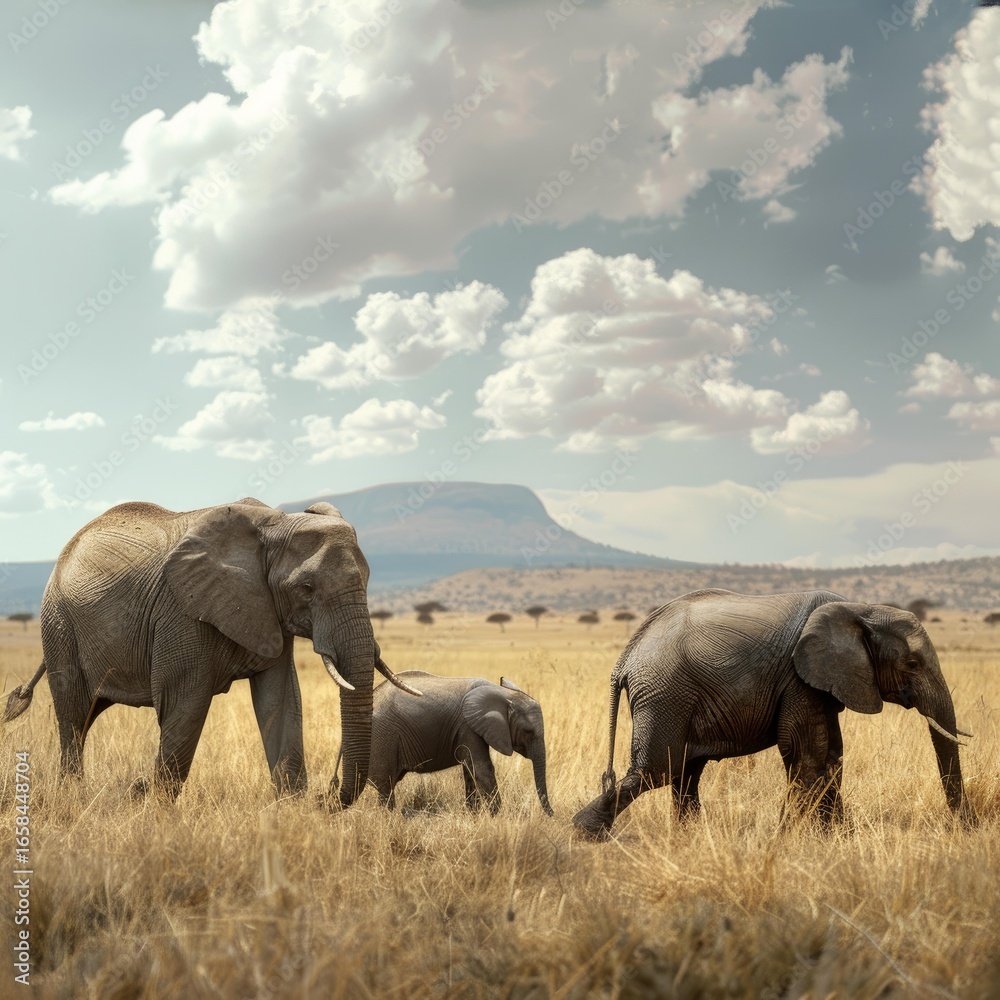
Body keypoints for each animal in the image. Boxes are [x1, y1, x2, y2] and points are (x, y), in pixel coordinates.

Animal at [2, 497, 419, 803]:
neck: (272, 526)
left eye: (368, 579)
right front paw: (157, 810)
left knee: (87, 714)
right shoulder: (182, 613)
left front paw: (292, 809)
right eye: (307, 588)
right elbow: (184, 705)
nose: (328, 794)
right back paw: (73, 796)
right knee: (73, 715)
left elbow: (282, 700)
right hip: (58, 623)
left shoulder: (268, 612)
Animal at [333, 671, 553, 815]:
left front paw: (474, 815)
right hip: (381, 738)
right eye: (528, 732)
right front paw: (497, 817)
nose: (552, 815)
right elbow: (482, 768)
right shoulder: (467, 726)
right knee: (385, 787)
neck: (501, 693)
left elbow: (470, 770)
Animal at [572, 589, 974, 837]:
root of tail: (626, 656)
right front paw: (788, 839)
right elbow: (806, 756)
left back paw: (689, 836)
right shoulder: (798, 678)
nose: (965, 829)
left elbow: (831, 757)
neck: (861, 609)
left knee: (685, 773)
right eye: (912, 664)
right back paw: (585, 832)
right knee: (658, 768)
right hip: (666, 692)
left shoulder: (818, 682)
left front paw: (836, 839)